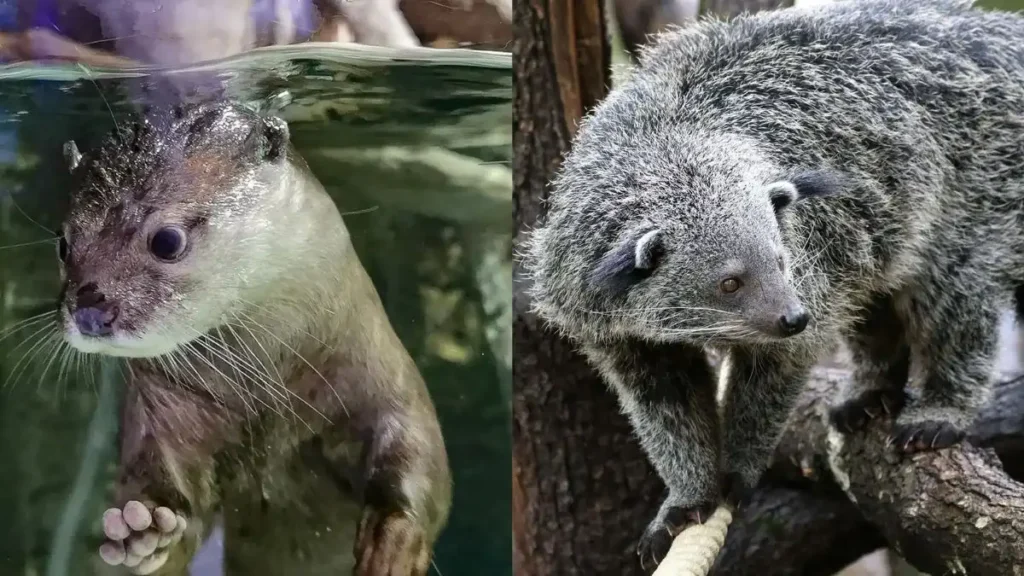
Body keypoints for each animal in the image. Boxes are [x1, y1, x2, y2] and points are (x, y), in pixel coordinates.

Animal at [56, 103, 448, 573]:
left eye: (167, 240)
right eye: (63, 243)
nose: (89, 310)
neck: (271, 401)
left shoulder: (382, 375)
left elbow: (419, 453)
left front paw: (393, 543)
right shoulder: (163, 417)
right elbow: (163, 485)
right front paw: (142, 531)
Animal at [524, 0, 1024, 565]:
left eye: (781, 261)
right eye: (730, 282)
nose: (793, 317)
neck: (666, 138)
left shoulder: (810, 253)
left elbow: (775, 373)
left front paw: (740, 467)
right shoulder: (611, 326)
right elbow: (664, 406)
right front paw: (687, 494)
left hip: (980, 184)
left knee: (956, 297)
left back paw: (940, 406)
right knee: (875, 301)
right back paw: (872, 385)